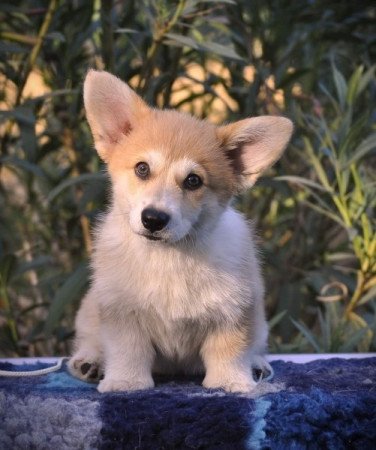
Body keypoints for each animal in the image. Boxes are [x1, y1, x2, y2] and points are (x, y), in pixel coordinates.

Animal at [68, 70, 294, 394]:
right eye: (141, 168)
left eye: (193, 181)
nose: (153, 219)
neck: (170, 256)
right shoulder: (121, 313)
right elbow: (127, 351)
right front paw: (125, 382)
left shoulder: (233, 312)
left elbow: (229, 351)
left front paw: (232, 383)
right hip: (89, 311)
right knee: (91, 340)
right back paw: (90, 362)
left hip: (260, 322)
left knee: (255, 346)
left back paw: (257, 365)